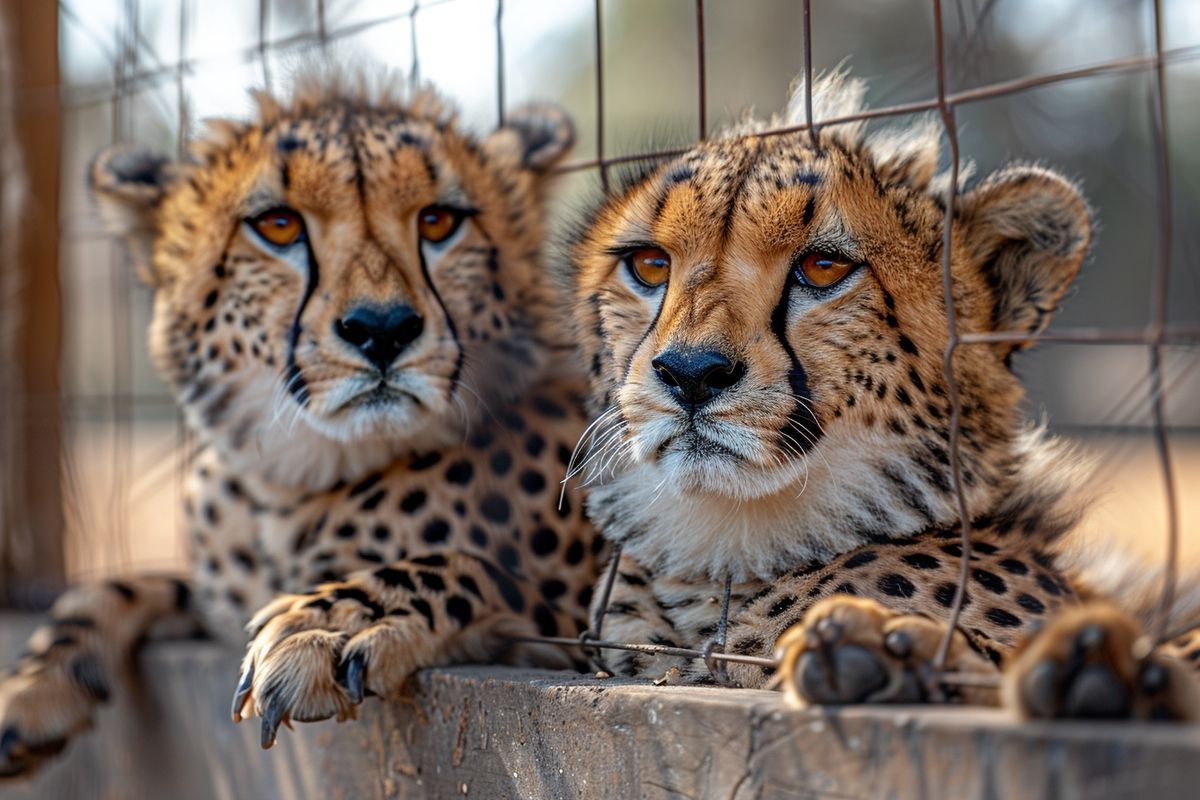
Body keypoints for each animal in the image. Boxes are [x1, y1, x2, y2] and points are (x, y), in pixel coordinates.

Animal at [0, 71, 600, 777]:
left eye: (438, 221)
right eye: (279, 225)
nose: (382, 328)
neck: (291, 484)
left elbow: (467, 563)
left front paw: (331, 623)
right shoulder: (221, 598)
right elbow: (119, 585)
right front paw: (29, 688)